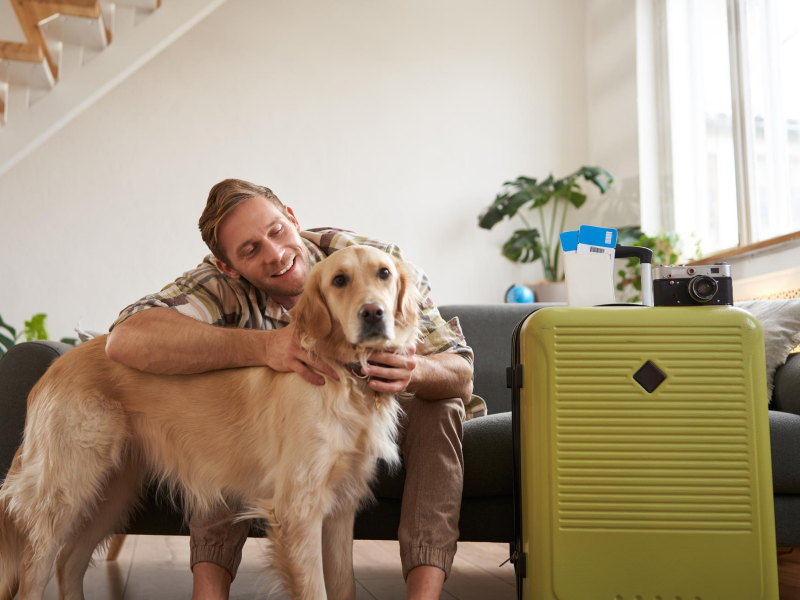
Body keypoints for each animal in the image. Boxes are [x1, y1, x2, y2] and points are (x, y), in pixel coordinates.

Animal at [0, 244, 422, 600]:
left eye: (384, 273)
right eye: (339, 280)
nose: (373, 313)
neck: (347, 379)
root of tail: (56, 365)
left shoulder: (340, 508)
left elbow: (344, 585)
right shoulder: (298, 510)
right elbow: (314, 590)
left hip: (110, 492)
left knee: (68, 561)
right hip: (66, 491)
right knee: (35, 571)